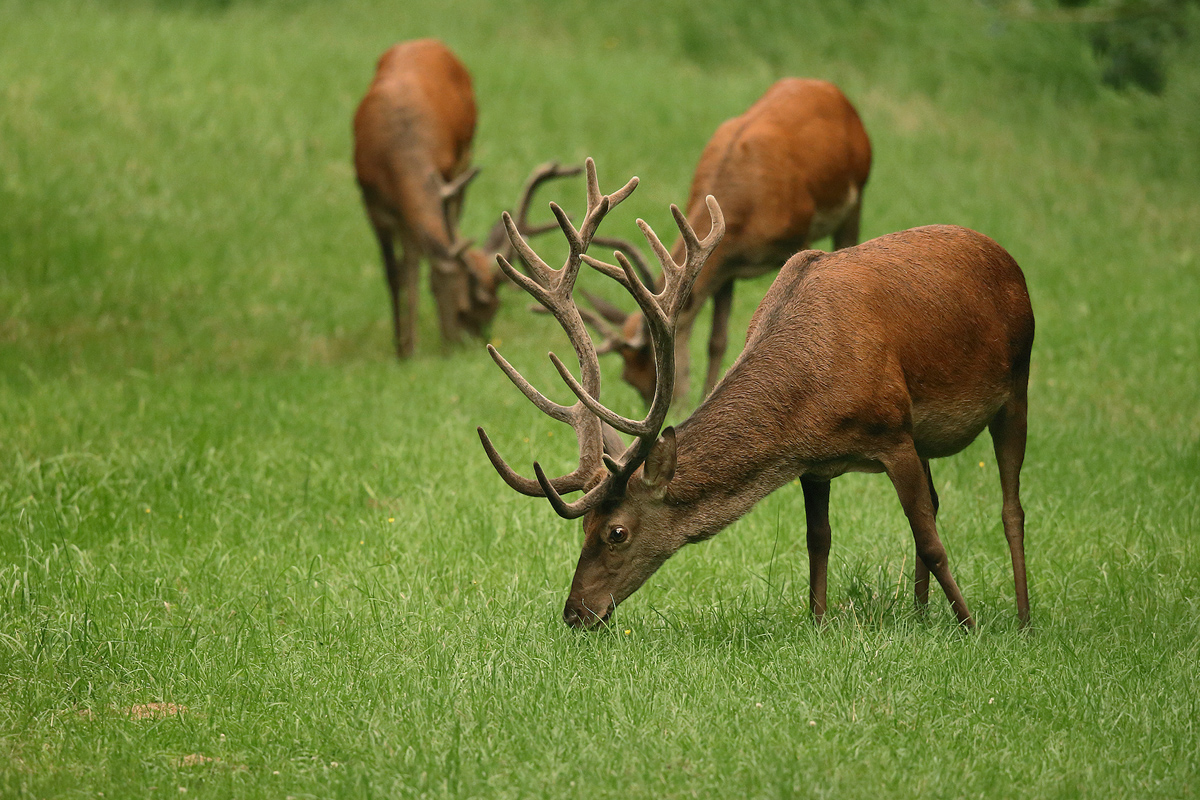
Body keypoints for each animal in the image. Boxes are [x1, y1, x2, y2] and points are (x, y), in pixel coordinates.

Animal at [352, 37, 578, 357]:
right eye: (463, 310)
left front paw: (410, 347)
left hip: (465, 160)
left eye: (495, 310)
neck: (396, 152)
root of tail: (426, 41)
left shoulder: (445, 179)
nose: (468, 346)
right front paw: (404, 351)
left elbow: (415, 266)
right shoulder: (372, 203)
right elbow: (398, 274)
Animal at [477, 158, 1032, 633]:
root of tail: (1007, 257)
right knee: (935, 503)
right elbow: (818, 541)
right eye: (585, 526)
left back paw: (1023, 619)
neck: (815, 392)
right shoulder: (815, 464)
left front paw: (969, 627)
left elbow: (932, 542)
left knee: (1010, 507)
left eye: (616, 532)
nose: (574, 613)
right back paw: (919, 614)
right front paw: (818, 623)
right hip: (928, 438)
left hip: (1017, 383)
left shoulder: (893, 432)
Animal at [576, 79, 868, 407]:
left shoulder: (799, 233)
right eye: (629, 379)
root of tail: (826, 86)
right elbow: (717, 340)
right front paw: (708, 391)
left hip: (857, 198)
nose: (674, 407)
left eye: (654, 366)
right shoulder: (725, 266)